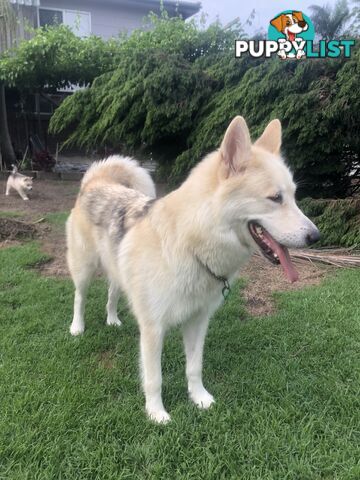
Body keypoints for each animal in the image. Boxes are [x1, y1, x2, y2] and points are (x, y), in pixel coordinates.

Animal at [66, 118, 320, 422]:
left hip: (117, 272)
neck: (191, 244)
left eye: (294, 196)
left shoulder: (198, 322)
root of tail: (96, 182)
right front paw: (156, 414)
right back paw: (77, 327)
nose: (316, 236)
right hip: (84, 270)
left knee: (112, 293)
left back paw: (113, 319)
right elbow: (154, 378)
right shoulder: (153, 330)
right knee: (79, 298)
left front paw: (199, 399)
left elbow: (194, 368)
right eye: (275, 198)